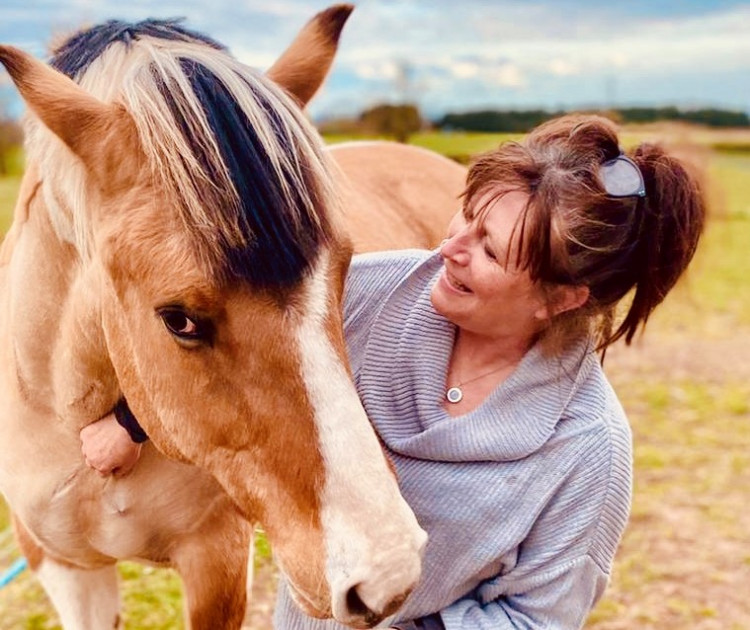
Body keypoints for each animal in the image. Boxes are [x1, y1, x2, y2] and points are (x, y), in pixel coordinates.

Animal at [0, 6, 472, 630]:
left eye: (342, 271)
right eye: (178, 319)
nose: (388, 573)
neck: (76, 423)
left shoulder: (216, 560)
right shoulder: (64, 570)